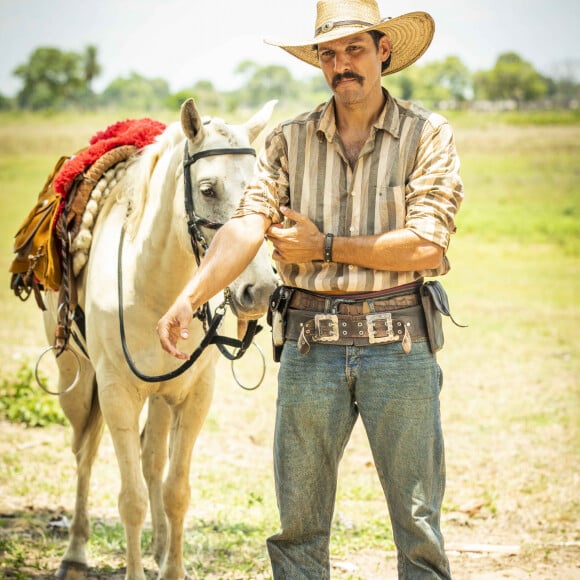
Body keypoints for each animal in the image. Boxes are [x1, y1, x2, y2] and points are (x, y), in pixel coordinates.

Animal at [40, 99, 276, 580]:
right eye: (208, 189)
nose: (259, 290)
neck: (154, 287)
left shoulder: (194, 395)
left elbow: (175, 491)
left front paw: (172, 567)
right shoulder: (116, 394)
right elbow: (129, 499)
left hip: (162, 395)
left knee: (153, 462)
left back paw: (161, 546)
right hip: (78, 381)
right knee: (84, 452)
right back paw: (75, 552)